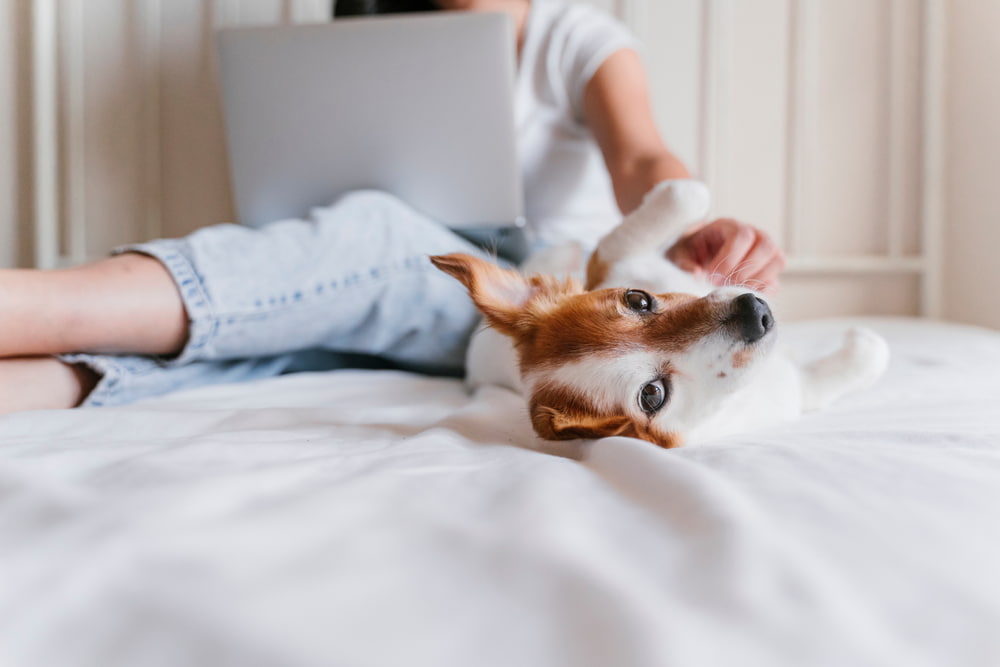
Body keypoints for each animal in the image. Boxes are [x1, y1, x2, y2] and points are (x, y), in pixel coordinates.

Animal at [432, 180, 892, 448]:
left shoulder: (617, 258)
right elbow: (844, 370)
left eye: (638, 299)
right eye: (652, 395)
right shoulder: (790, 395)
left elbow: (677, 198)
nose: (755, 311)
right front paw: (863, 346)